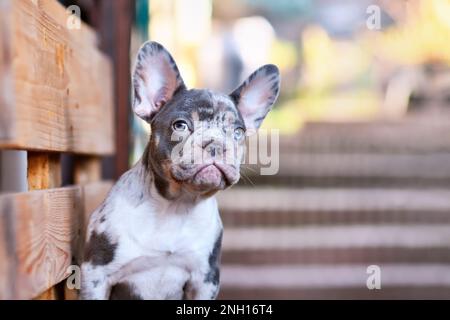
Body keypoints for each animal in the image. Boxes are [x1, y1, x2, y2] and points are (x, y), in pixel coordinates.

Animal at [79, 41, 280, 298]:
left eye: (238, 132)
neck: (176, 206)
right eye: (180, 126)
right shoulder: (96, 274)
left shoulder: (205, 280)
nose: (215, 144)